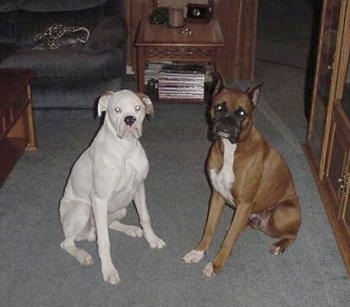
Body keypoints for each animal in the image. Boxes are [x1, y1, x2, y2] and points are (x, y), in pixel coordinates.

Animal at [58, 89, 165, 286]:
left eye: (137, 108)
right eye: (117, 109)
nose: (129, 119)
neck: (125, 149)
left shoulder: (139, 187)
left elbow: (145, 217)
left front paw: (153, 239)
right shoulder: (99, 200)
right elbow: (104, 242)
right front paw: (109, 271)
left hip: (120, 208)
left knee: (109, 224)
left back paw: (131, 230)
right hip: (83, 210)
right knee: (68, 242)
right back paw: (83, 255)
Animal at [183, 83, 300, 278]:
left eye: (242, 113)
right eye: (219, 107)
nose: (227, 121)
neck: (232, 150)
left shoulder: (244, 203)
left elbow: (228, 241)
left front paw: (215, 265)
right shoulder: (217, 197)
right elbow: (209, 229)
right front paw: (198, 252)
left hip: (281, 213)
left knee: (293, 235)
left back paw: (279, 246)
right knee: (242, 225)